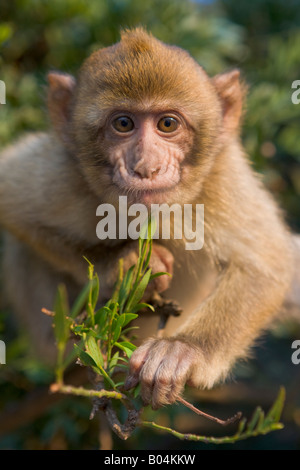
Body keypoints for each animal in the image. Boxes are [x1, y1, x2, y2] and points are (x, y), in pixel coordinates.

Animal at [0, 28, 296, 408]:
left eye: (167, 123)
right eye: (123, 123)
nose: (146, 167)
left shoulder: (222, 177)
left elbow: (267, 266)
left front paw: (183, 350)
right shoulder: (62, 170)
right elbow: (11, 203)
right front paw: (122, 263)